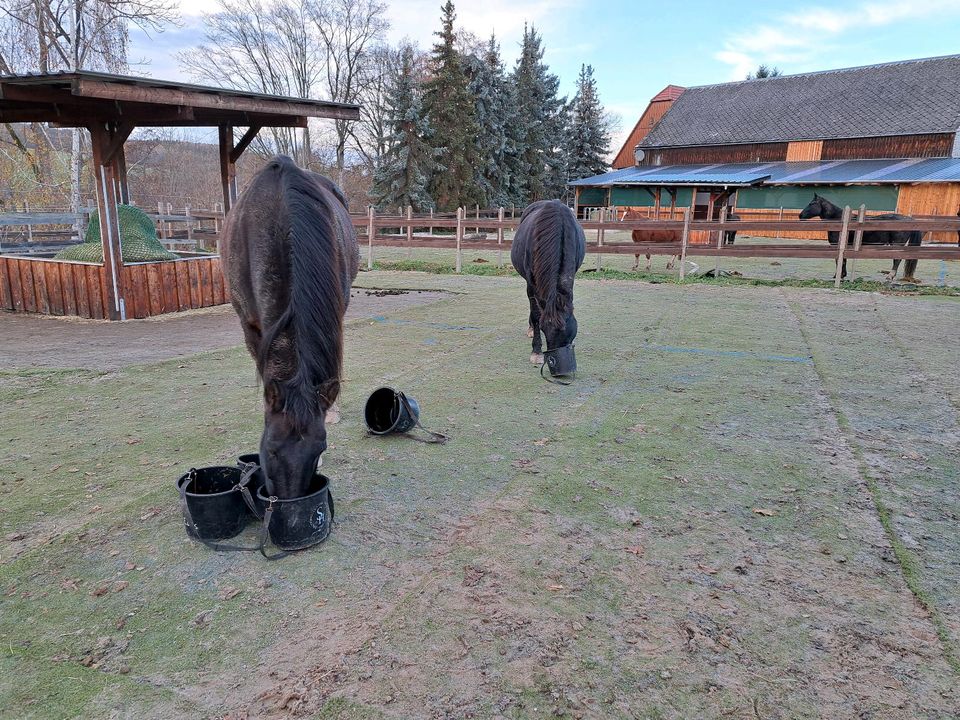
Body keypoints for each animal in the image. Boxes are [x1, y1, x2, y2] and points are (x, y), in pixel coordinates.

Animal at [510, 200, 584, 374]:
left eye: (567, 330)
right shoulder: (532, 285)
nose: (554, 359)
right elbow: (536, 314)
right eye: (544, 329)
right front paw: (536, 352)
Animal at [796, 195, 924, 282]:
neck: (840, 220)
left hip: (897, 244)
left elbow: (839, 260)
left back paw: (890, 276)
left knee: (897, 260)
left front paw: (838, 276)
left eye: (812, 203)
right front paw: (842, 275)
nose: (800, 215)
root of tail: (909, 219)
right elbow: (844, 260)